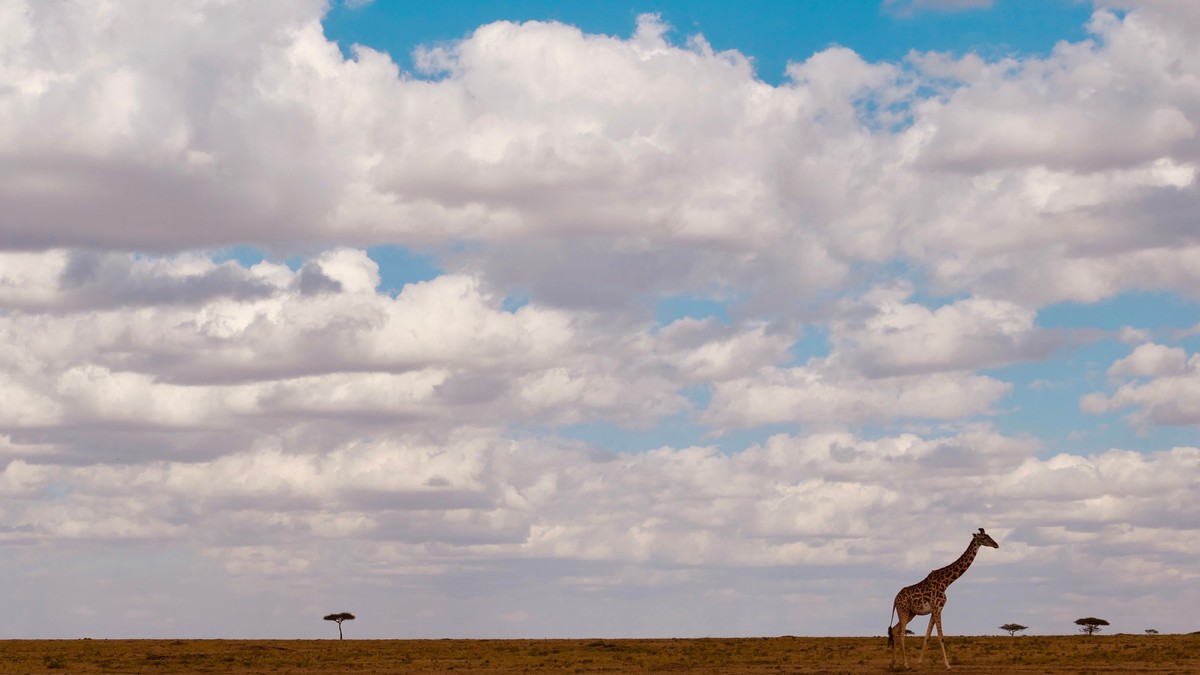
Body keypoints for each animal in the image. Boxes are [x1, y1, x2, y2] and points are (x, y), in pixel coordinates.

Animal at [887, 528, 999, 670]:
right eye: (984, 538)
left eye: (989, 535)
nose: (996, 544)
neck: (946, 583)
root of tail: (895, 598)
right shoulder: (938, 608)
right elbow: (941, 637)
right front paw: (948, 665)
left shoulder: (934, 610)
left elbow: (927, 636)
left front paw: (919, 663)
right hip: (904, 610)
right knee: (901, 633)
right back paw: (906, 665)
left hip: (910, 613)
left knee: (895, 630)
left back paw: (893, 663)